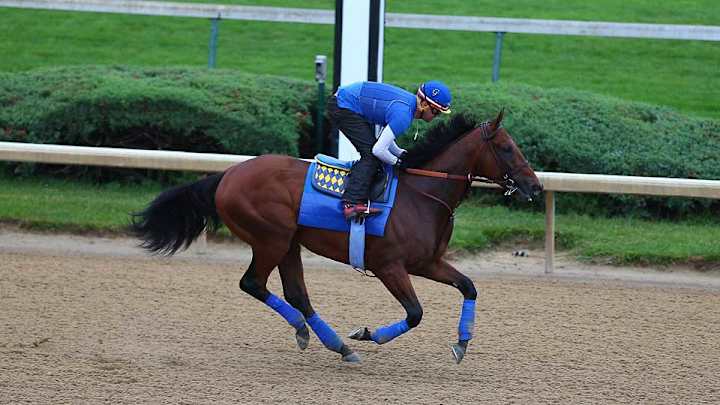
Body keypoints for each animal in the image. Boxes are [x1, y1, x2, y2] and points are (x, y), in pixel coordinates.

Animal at [131, 111, 543, 364]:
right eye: (506, 148)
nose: (536, 187)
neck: (422, 194)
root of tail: (227, 175)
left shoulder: (427, 262)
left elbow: (469, 286)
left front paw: (461, 343)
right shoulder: (389, 266)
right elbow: (415, 313)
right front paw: (367, 333)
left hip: (289, 243)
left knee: (297, 293)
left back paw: (332, 343)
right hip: (271, 239)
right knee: (253, 283)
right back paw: (318, 335)